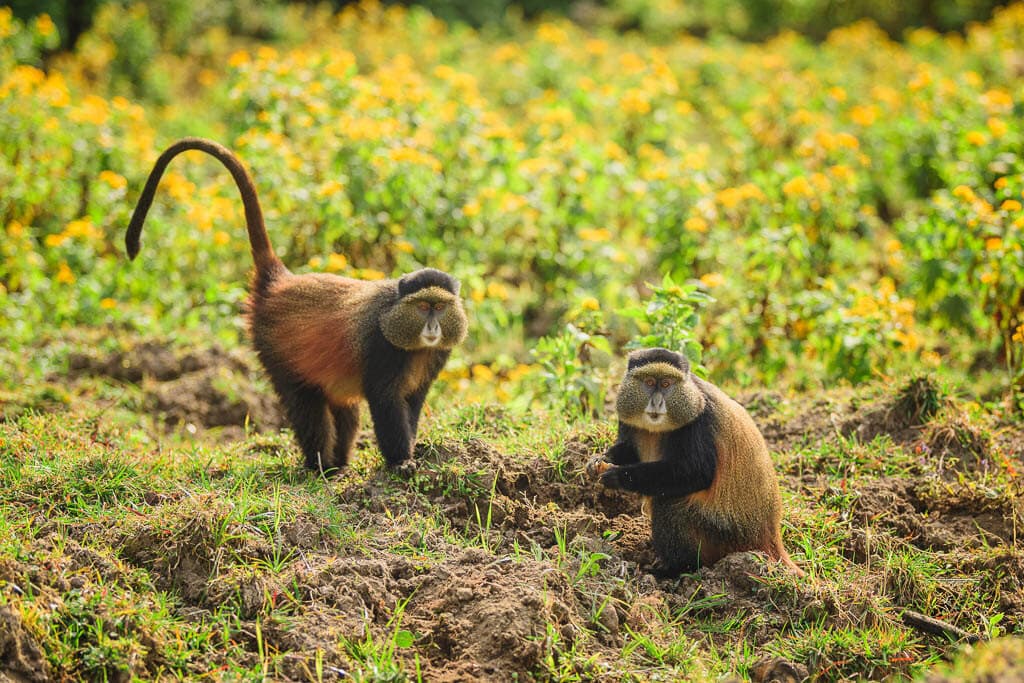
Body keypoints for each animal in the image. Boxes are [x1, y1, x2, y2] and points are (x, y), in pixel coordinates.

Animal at [125, 137, 467, 474]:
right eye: (422, 307)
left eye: (439, 307)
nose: (432, 327)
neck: (409, 340)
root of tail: (279, 283)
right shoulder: (380, 347)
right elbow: (385, 403)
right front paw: (401, 463)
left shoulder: (435, 358)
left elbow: (412, 403)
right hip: (277, 352)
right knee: (307, 406)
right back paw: (320, 466)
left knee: (344, 410)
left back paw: (338, 464)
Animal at [588, 347, 802, 576]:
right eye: (649, 382)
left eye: (666, 384)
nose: (656, 403)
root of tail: (769, 538)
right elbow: (629, 450)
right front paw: (598, 461)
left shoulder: (699, 421)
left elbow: (696, 474)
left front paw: (618, 476)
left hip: (719, 533)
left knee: (667, 502)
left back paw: (674, 569)